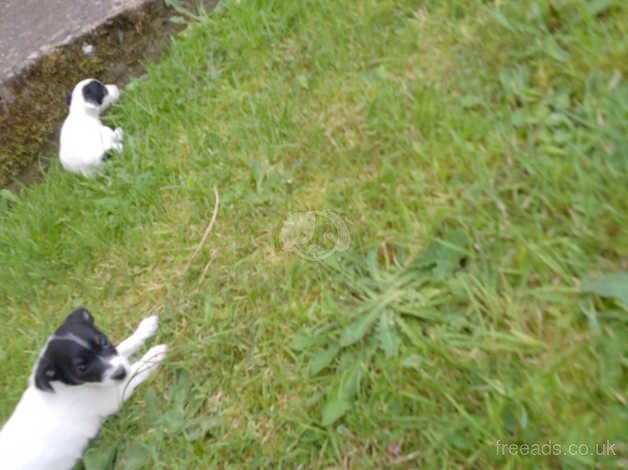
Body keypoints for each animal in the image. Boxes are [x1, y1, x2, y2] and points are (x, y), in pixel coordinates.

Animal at [0, 306, 167, 468]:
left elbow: (124, 346)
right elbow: (136, 370)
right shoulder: (113, 394)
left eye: (103, 342)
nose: (121, 372)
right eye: (81, 368)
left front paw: (145, 328)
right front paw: (153, 355)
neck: (65, 384)